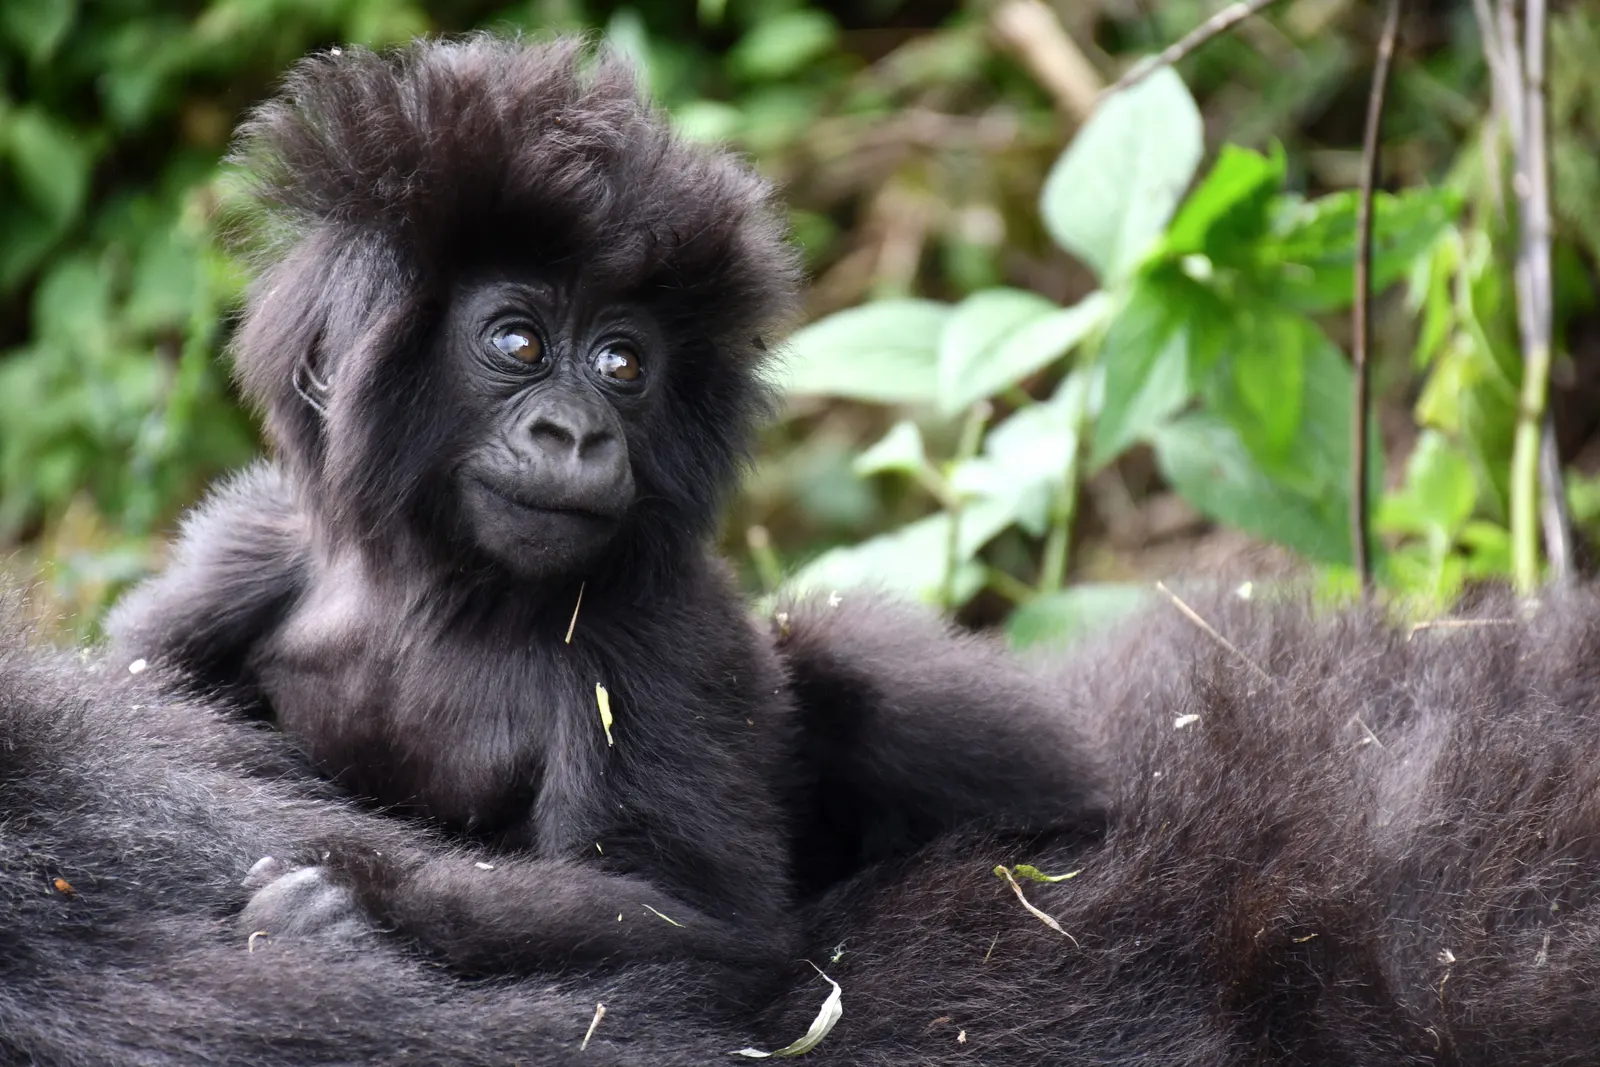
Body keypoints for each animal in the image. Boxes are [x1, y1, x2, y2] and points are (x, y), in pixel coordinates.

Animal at [105, 35, 1108, 993]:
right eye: (518, 343)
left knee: (849, 650)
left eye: (622, 363)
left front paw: (359, 903)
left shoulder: (660, 629)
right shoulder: (246, 549)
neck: (434, 587)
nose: (577, 432)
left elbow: (688, 910)